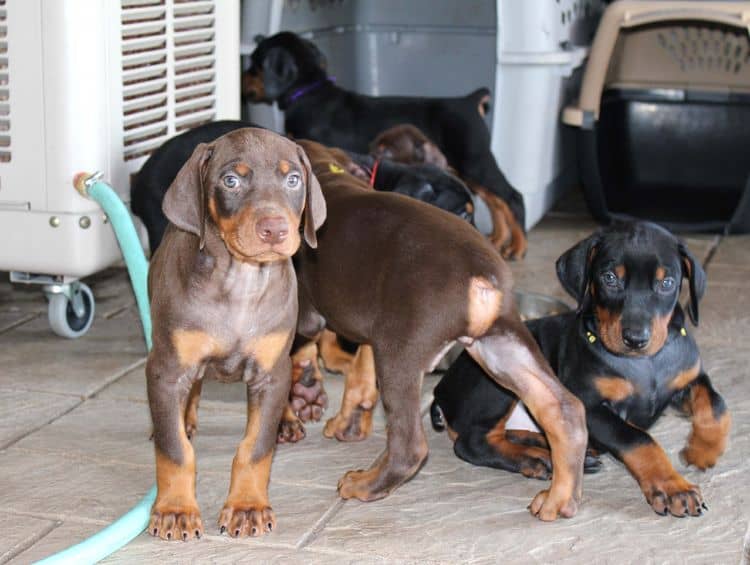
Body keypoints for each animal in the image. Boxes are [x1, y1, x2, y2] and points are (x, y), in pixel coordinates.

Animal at [145, 125, 324, 540]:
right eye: (231, 181)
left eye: (293, 180)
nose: (275, 229)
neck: (240, 281)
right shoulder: (166, 369)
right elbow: (174, 449)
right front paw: (175, 510)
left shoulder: (269, 372)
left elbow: (255, 447)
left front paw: (247, 507)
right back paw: (184, 416)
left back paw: (287, 418)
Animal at [290, 140, 592, 520]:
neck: (329, 176)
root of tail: (481, 275)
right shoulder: (372, 329)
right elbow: (358, 379)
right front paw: (347, 424)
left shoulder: (310, 315)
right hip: (500, 347)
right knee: (563, 409)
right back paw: (559, 499)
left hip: (401, 354)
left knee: (410, 446)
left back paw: (364, 485)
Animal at [432, 219, 732, 516]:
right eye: (609, 278)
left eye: (667, 283)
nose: (635, 339)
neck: (644, 363)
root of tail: (440, 390)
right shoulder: (590, 405)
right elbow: (638, 437)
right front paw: (673, 488)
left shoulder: (689, 378)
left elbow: (717, 405)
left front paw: (702, 451)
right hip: (499, 379)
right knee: (471, 442)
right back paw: (536, 459)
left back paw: (555, 452)